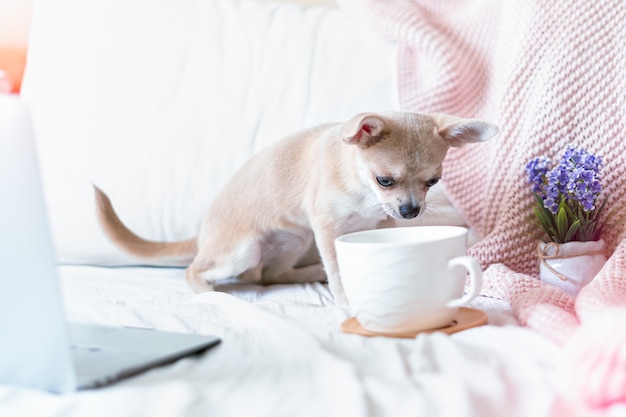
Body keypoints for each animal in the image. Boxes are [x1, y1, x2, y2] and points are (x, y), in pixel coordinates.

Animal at [95, 111, 498, 306]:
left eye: (433, 181)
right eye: (385, 180)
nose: (412, 211)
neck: (361, 188)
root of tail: (203, 233)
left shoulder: (382, 223)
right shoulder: (326, 227)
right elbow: (338, 268)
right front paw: (346, 299)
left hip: (295, 239)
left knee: (269, 276)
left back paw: (309, 273)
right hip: (243, 250)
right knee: (198, 271)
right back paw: (210, 292)